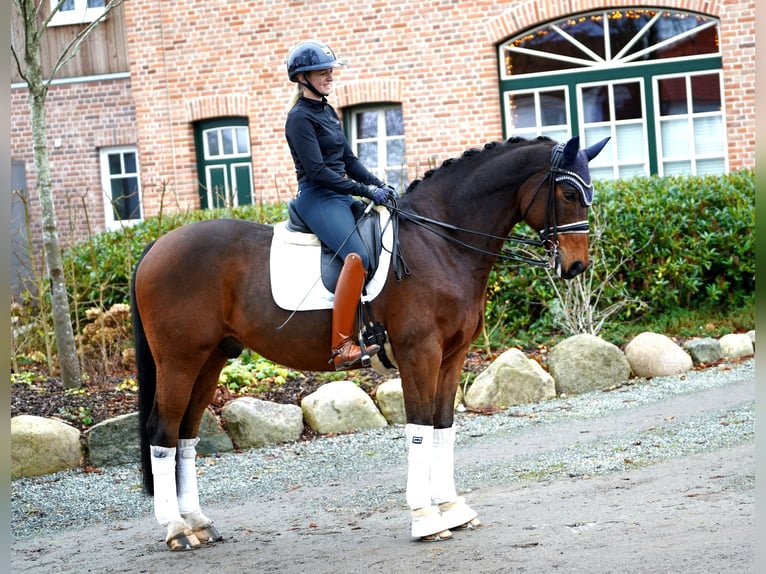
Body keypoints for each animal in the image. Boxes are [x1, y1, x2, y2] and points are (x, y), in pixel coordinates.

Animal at [132, 133, 612, 552]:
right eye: (569, 193)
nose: (577, 266)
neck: (441, 242)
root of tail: (157, 243)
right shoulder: (421, 352)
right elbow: (419, 428)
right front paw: (425, 519)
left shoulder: (453, 355)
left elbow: (443, 427)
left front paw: (453, 509)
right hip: (179, 360)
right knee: (163, 432)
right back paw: (176, 529)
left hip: (210, 359)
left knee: (186, 436)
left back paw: (198, 523)